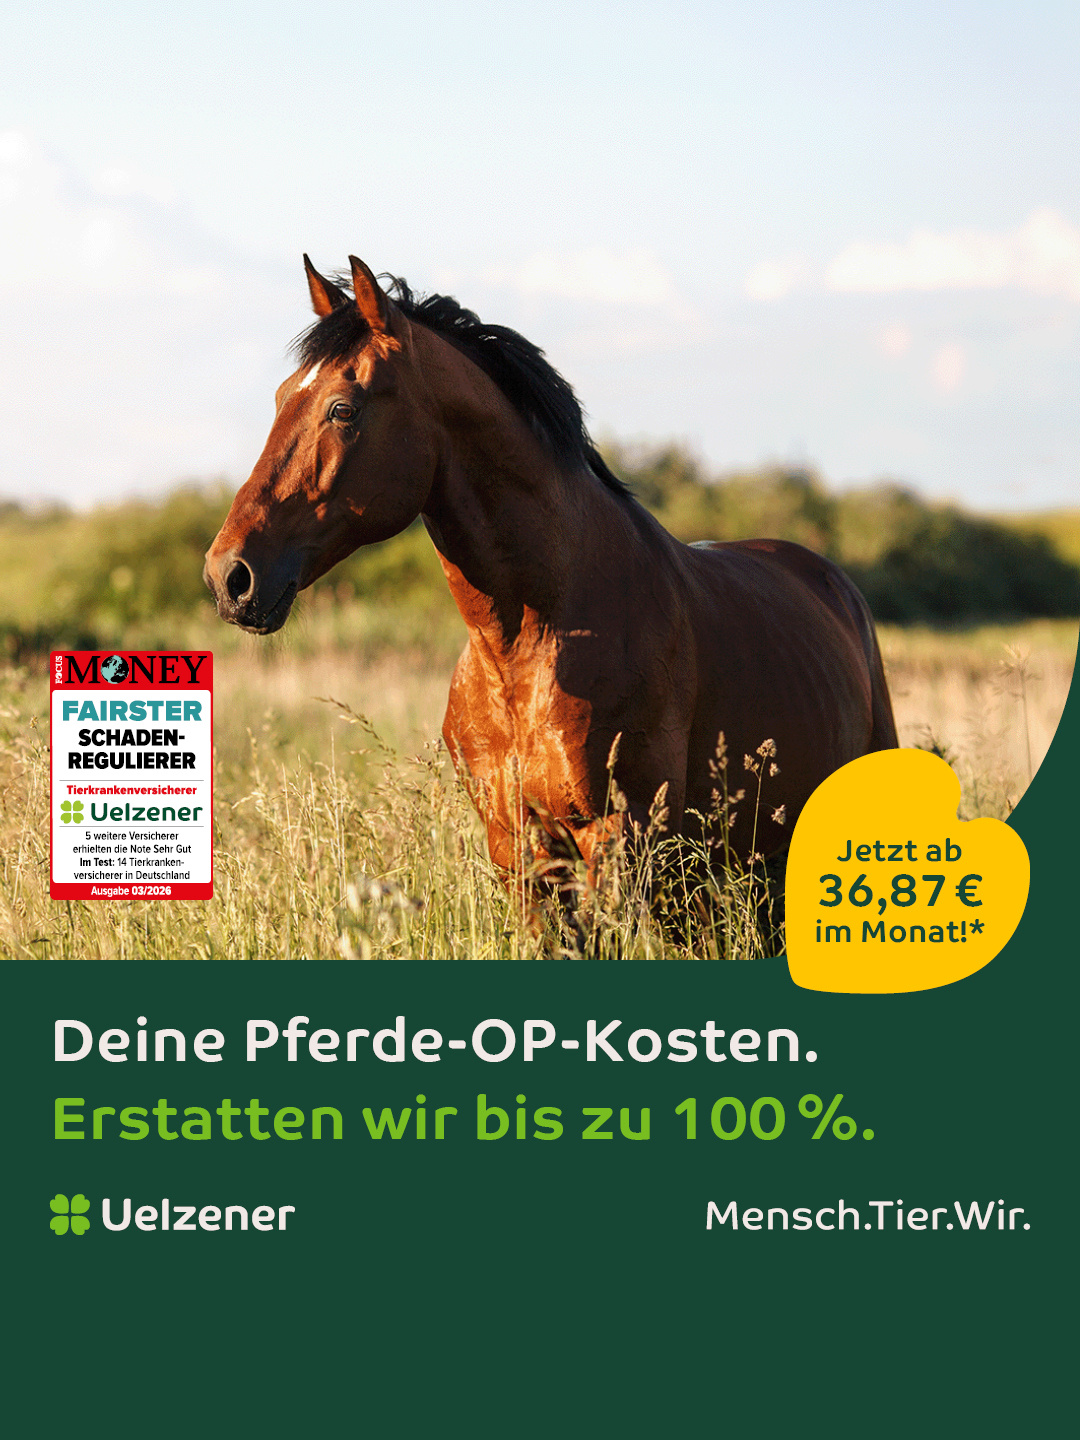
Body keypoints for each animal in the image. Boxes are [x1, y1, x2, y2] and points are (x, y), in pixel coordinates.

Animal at [204, 255, 897, 911]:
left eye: (342, 408)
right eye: (281, 397)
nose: (228, 576)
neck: (532, 645)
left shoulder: (616, 839)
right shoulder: (516, 848)